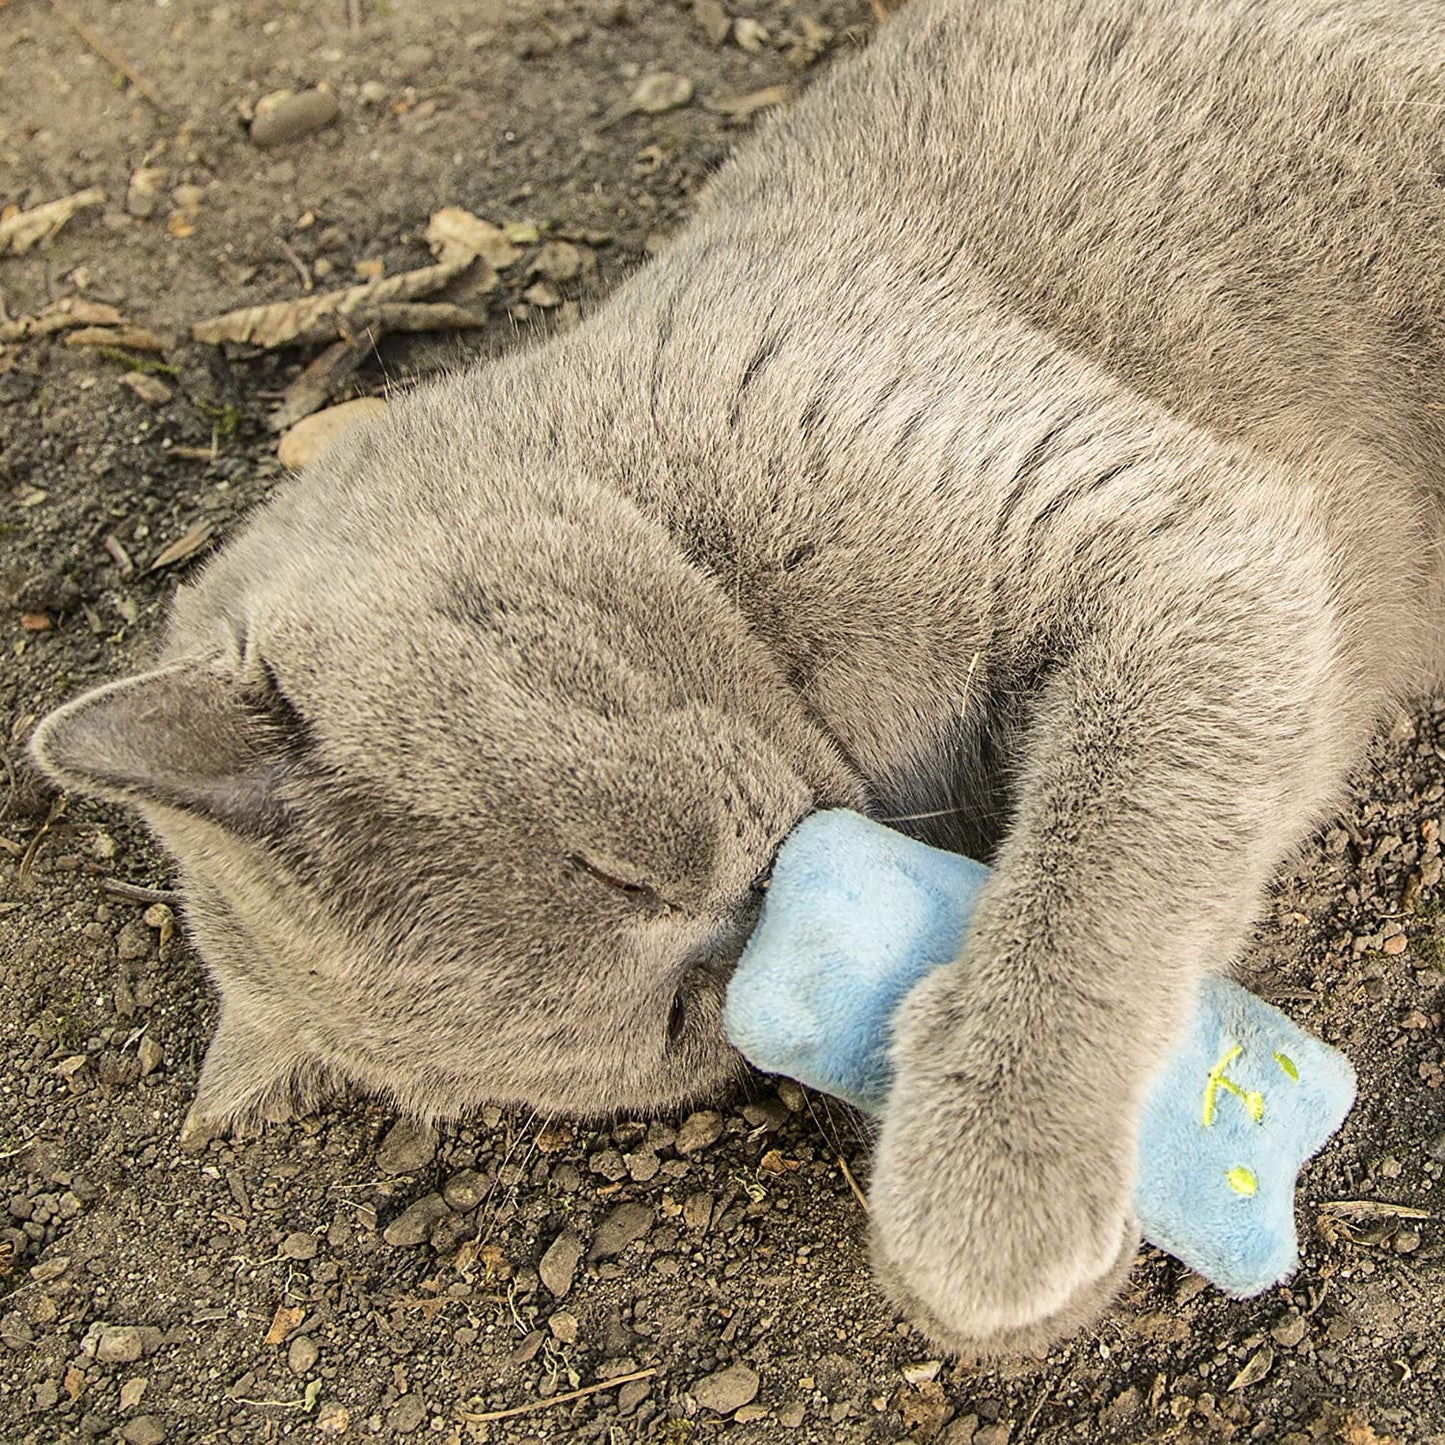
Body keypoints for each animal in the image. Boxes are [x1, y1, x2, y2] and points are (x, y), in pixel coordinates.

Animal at [25, 0, 1445, 1352]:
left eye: (614, 868)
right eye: (673, 1020)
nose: (743, 916)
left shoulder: (1172, 535)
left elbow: (1092, 874)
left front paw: (985, 1206)